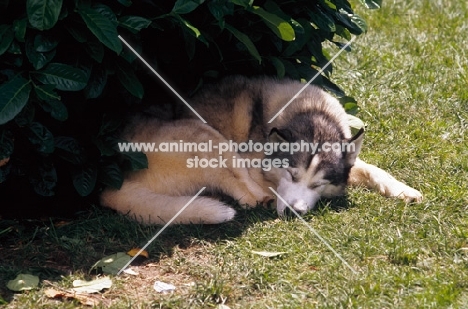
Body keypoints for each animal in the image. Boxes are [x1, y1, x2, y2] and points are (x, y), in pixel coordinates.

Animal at [100, 75, 422, 223]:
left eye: (318, 184)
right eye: (291, 175)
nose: (293, 212)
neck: (313, 113)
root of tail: (112, 183)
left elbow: (371, 169)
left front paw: (403, 189)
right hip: (205, 137)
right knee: (246, 196)